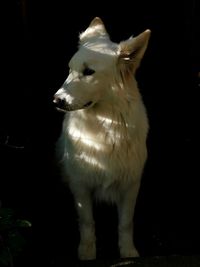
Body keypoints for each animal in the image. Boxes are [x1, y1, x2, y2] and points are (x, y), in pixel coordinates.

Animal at [53, 17, 150, 260]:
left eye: (89, 72)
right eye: (70, 70)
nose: (56, 100)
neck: (106, 126)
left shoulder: (130, 185)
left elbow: (126, 223)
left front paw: (128, 252)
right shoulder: (80, 185)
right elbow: (87, 222)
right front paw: (87, 253)